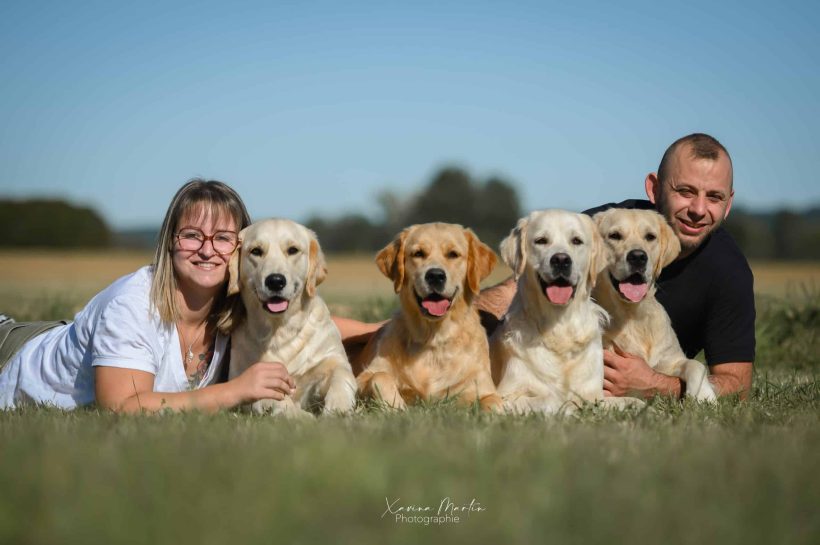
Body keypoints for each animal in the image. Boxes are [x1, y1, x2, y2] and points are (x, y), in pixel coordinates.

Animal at [224, 219, 356, 414]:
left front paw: (339, 406)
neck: (280, 329)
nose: (275, 281)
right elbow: (274, 397)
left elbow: (341, 374)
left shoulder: (332, 359)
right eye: (256, 251)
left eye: (293, 250)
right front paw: (298, 415)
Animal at [358, 221, 502, 408]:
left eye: (453, 254)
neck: (433, 339)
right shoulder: (363, 377)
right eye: (418, 253)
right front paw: (398, 407)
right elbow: (380, 377)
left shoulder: (482, 387)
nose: (435, 275)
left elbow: (493, 402)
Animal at [486, 209, 636, 412]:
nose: (561, 260)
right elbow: (553, 398)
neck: (559, 325)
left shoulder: (595, 394)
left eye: (576, 240)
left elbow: (632, 401)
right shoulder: (505, 396)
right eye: (541, 240)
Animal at [592, 208, 716, 400]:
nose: (638, 257)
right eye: (614, 235)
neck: (633, 315)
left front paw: (704, 396)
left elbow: (696, 365)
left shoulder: (671, 360)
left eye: (650, 236)